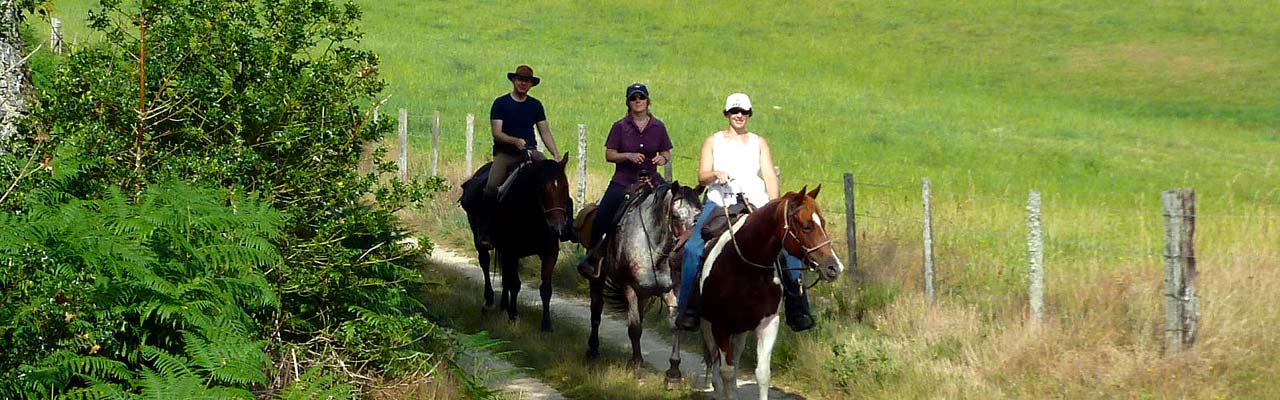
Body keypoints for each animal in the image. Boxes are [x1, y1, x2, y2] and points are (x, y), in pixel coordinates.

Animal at [460, 153, 576, 330]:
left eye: (565, 187)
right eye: (542, 189)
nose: (558, 228)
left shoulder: (549, 252)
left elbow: (545, 289)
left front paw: (546, 324)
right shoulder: (511, 252)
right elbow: (515, 284)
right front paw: (513, 315)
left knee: (505, 275)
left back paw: (503, 305)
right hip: (480, 241)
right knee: (485, 264)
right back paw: (489, 301)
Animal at [586, 183, 706, 379]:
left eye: (699, 214)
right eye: (675, 216)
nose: (686, 252)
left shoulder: (671, 290)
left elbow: (675, 325)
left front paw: (673, 372)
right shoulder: (629, 288)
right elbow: (634, 328)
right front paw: (637, 365)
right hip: (598, 278)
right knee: (596, 308)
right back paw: (593, 349)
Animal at [696, 185, 844, 397]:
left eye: (822, 223)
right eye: (806, 226)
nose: (835, 267)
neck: (745, 269)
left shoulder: (768, 324)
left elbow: (762, 373)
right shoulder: (720, 325)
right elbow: (726, 370)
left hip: (740, 328)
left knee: (736, 354)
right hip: (707, 324)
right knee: (714, 355)